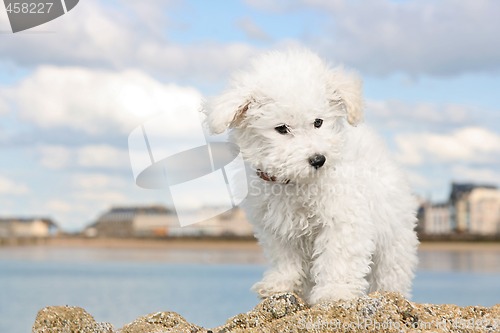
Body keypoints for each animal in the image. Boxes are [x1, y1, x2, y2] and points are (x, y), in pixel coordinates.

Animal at [203, 48, 418, 304]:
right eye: (282, 129)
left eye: (318, 122)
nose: (318, 159)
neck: (296, 182)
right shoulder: (277, 227)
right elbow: (285, 258)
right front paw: (281, 284)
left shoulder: (343, 219)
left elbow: (338, 258)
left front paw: (335, 291)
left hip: (393, 237)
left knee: (390, 271)